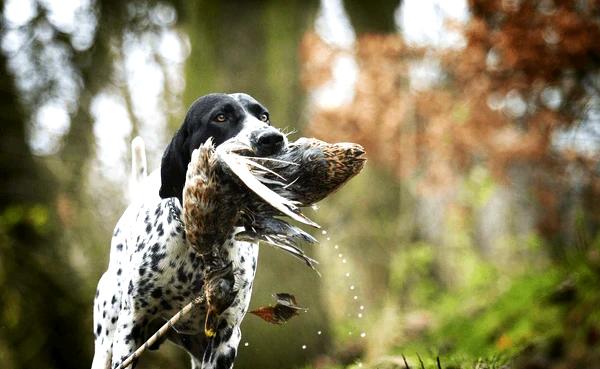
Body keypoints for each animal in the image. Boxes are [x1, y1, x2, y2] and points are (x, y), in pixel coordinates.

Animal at [94, 92, 288, 368]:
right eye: (221, 117)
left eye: (264, 116)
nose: (272, 138)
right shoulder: (130, 326)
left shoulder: (225, 337)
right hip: (106, 338)